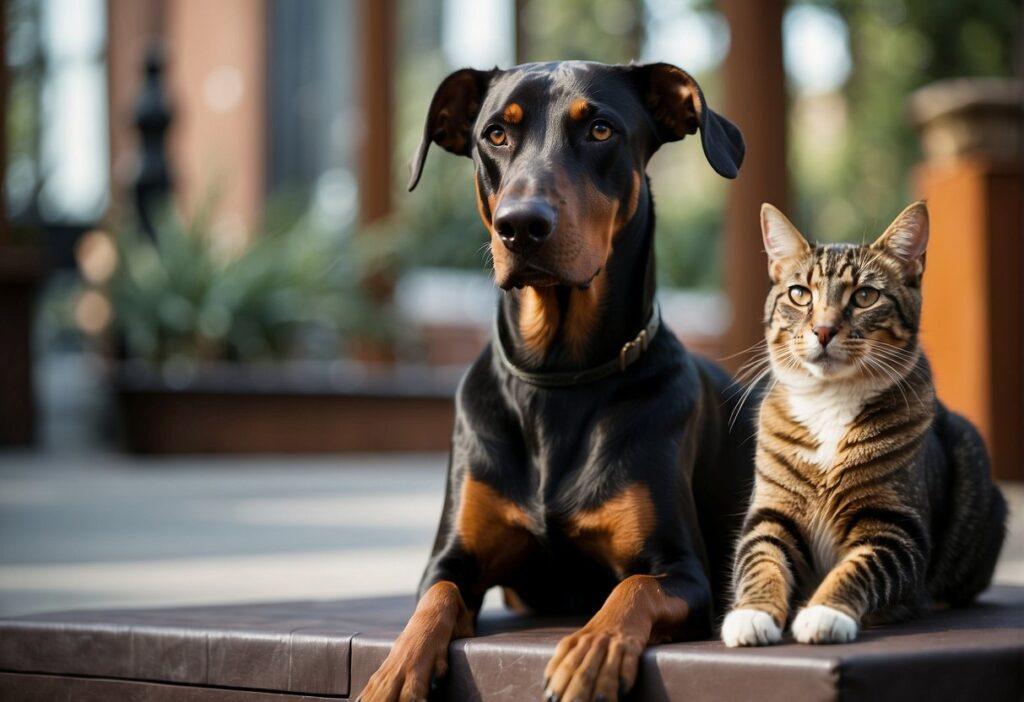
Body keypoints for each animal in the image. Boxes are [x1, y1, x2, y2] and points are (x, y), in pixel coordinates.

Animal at [360, 61, 753, 702]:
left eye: (599, 129)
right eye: (495, 134)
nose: (520, 225)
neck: (557, 378)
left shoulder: (683, 571)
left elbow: (633, 587)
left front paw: (592, 650)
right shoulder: (451, 559)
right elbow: (434, 598)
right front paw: (396, 670)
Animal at [724, 199, 1003, 650]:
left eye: (866, 296)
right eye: (799, 294)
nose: (823, 329)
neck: (830, 401)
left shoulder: (894, 527)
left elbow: (858, 568)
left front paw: (825, 613)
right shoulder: (772, 513)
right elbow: (760, 559)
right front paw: (751, 615)